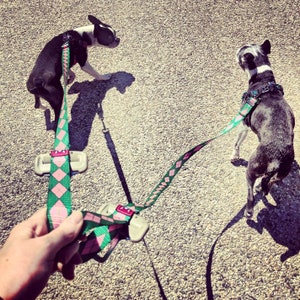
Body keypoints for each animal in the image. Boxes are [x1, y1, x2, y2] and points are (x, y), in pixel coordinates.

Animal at [232, 39, 296, 218]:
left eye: (241, 52)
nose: (238, 48)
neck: (263, 79)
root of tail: (276, 159)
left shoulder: (243, 124)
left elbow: (237, 143)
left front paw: (234, 156)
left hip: (251, 168)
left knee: (250, 194)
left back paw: (249, 212)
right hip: (281, 173)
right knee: (270, 182)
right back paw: (263, 186)